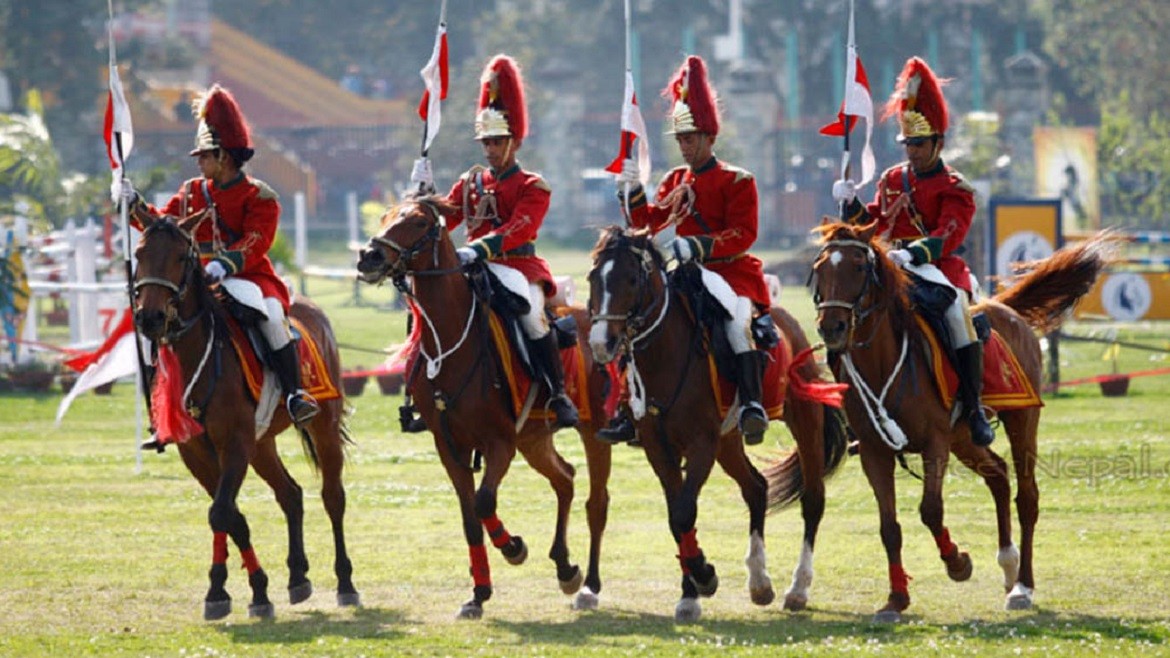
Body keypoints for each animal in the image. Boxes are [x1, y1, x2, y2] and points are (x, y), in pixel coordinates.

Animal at [129, 213, 355, 618]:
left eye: (180, 257)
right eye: (139, 254)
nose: (150, 317)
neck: (198, 354)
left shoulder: (234, 444)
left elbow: (221, 512)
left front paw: (227, 591)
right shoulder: (197, 453)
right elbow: (231, 515)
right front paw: (248, 590)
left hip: (323, 429)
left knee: (333, 497)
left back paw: (346, 582)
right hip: (261, 445)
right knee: (290, 494)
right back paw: (297, 577)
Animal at [353, 192, 613, 618]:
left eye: (419, 222)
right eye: (385, 217)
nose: (368, 257)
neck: (451, 339)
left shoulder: (499, 443)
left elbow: (484, 501)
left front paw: (513, 547)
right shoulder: (451, 448)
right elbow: (470, 517)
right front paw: (478, 593)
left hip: (592, 430)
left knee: (597, 501)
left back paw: (588, 584)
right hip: (534, 438)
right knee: (565, 478)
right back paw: (564, 567)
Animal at [585, 224, 851, 618]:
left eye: (631, 279)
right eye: (593, 279)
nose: (602, 344)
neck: (666, 354)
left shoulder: (701, 445)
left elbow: (684, 513)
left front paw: (704, 575)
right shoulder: (658, 448)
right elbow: (677, 516)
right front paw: (689, 592)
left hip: (804, 426)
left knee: (813, 499)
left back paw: (798, 588)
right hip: (728, 443)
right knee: (756, 487)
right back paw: (759, 581)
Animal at [809, 220, 1109, 618]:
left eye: (859, 267)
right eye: (820, 268)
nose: (832, 327)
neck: (883, 361)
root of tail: (1005, 309)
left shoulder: (935, 444)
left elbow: (931, 511)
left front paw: (958, 563)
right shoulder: (875, 452)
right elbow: (889, 527)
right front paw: (896, 598)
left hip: (1020, 421)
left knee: (1026, 498)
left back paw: (1023, 586)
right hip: (965, 438)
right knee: (998, 476)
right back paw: (1008, 565)